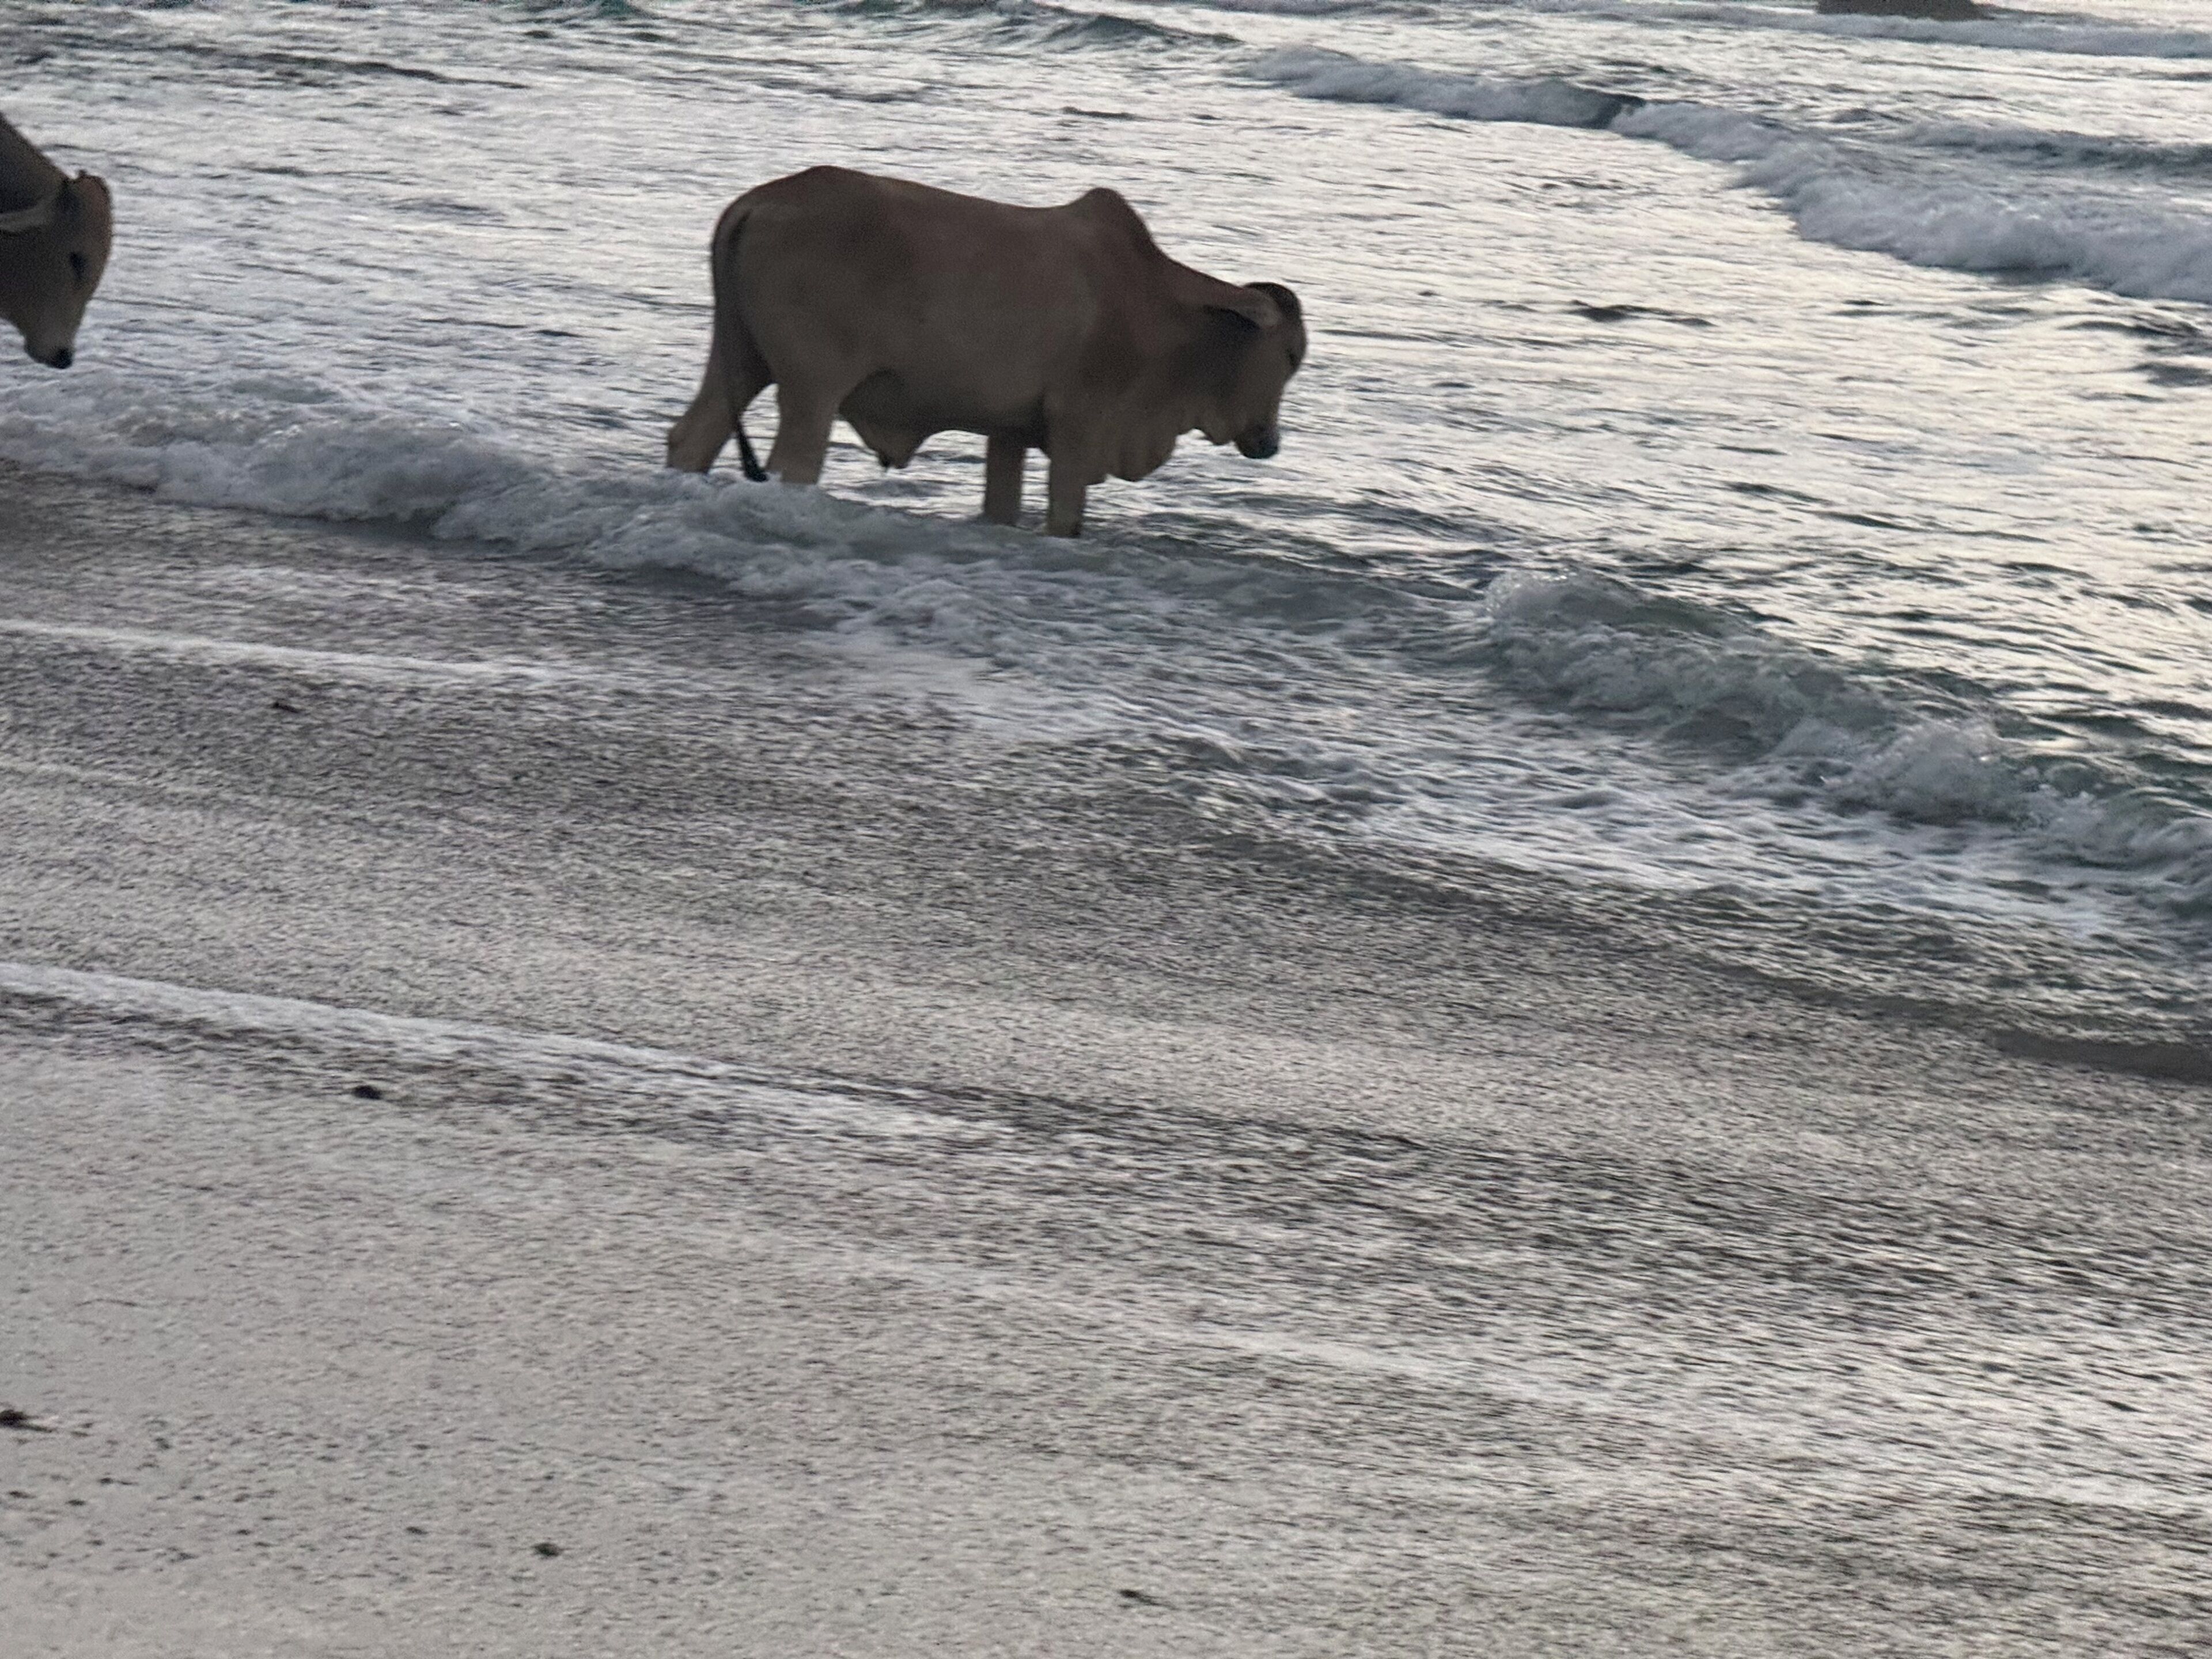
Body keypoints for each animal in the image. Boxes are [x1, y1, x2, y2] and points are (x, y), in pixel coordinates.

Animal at [666, 166, 1305, 536]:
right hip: (813, 388)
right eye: (1292, 357)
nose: (1270, 442)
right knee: (793, 464)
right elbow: (1066, 517)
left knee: (695, 435)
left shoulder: (1010, 431)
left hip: (740, 357)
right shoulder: (1079, 425)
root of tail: (760, 203)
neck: (1156, 304)